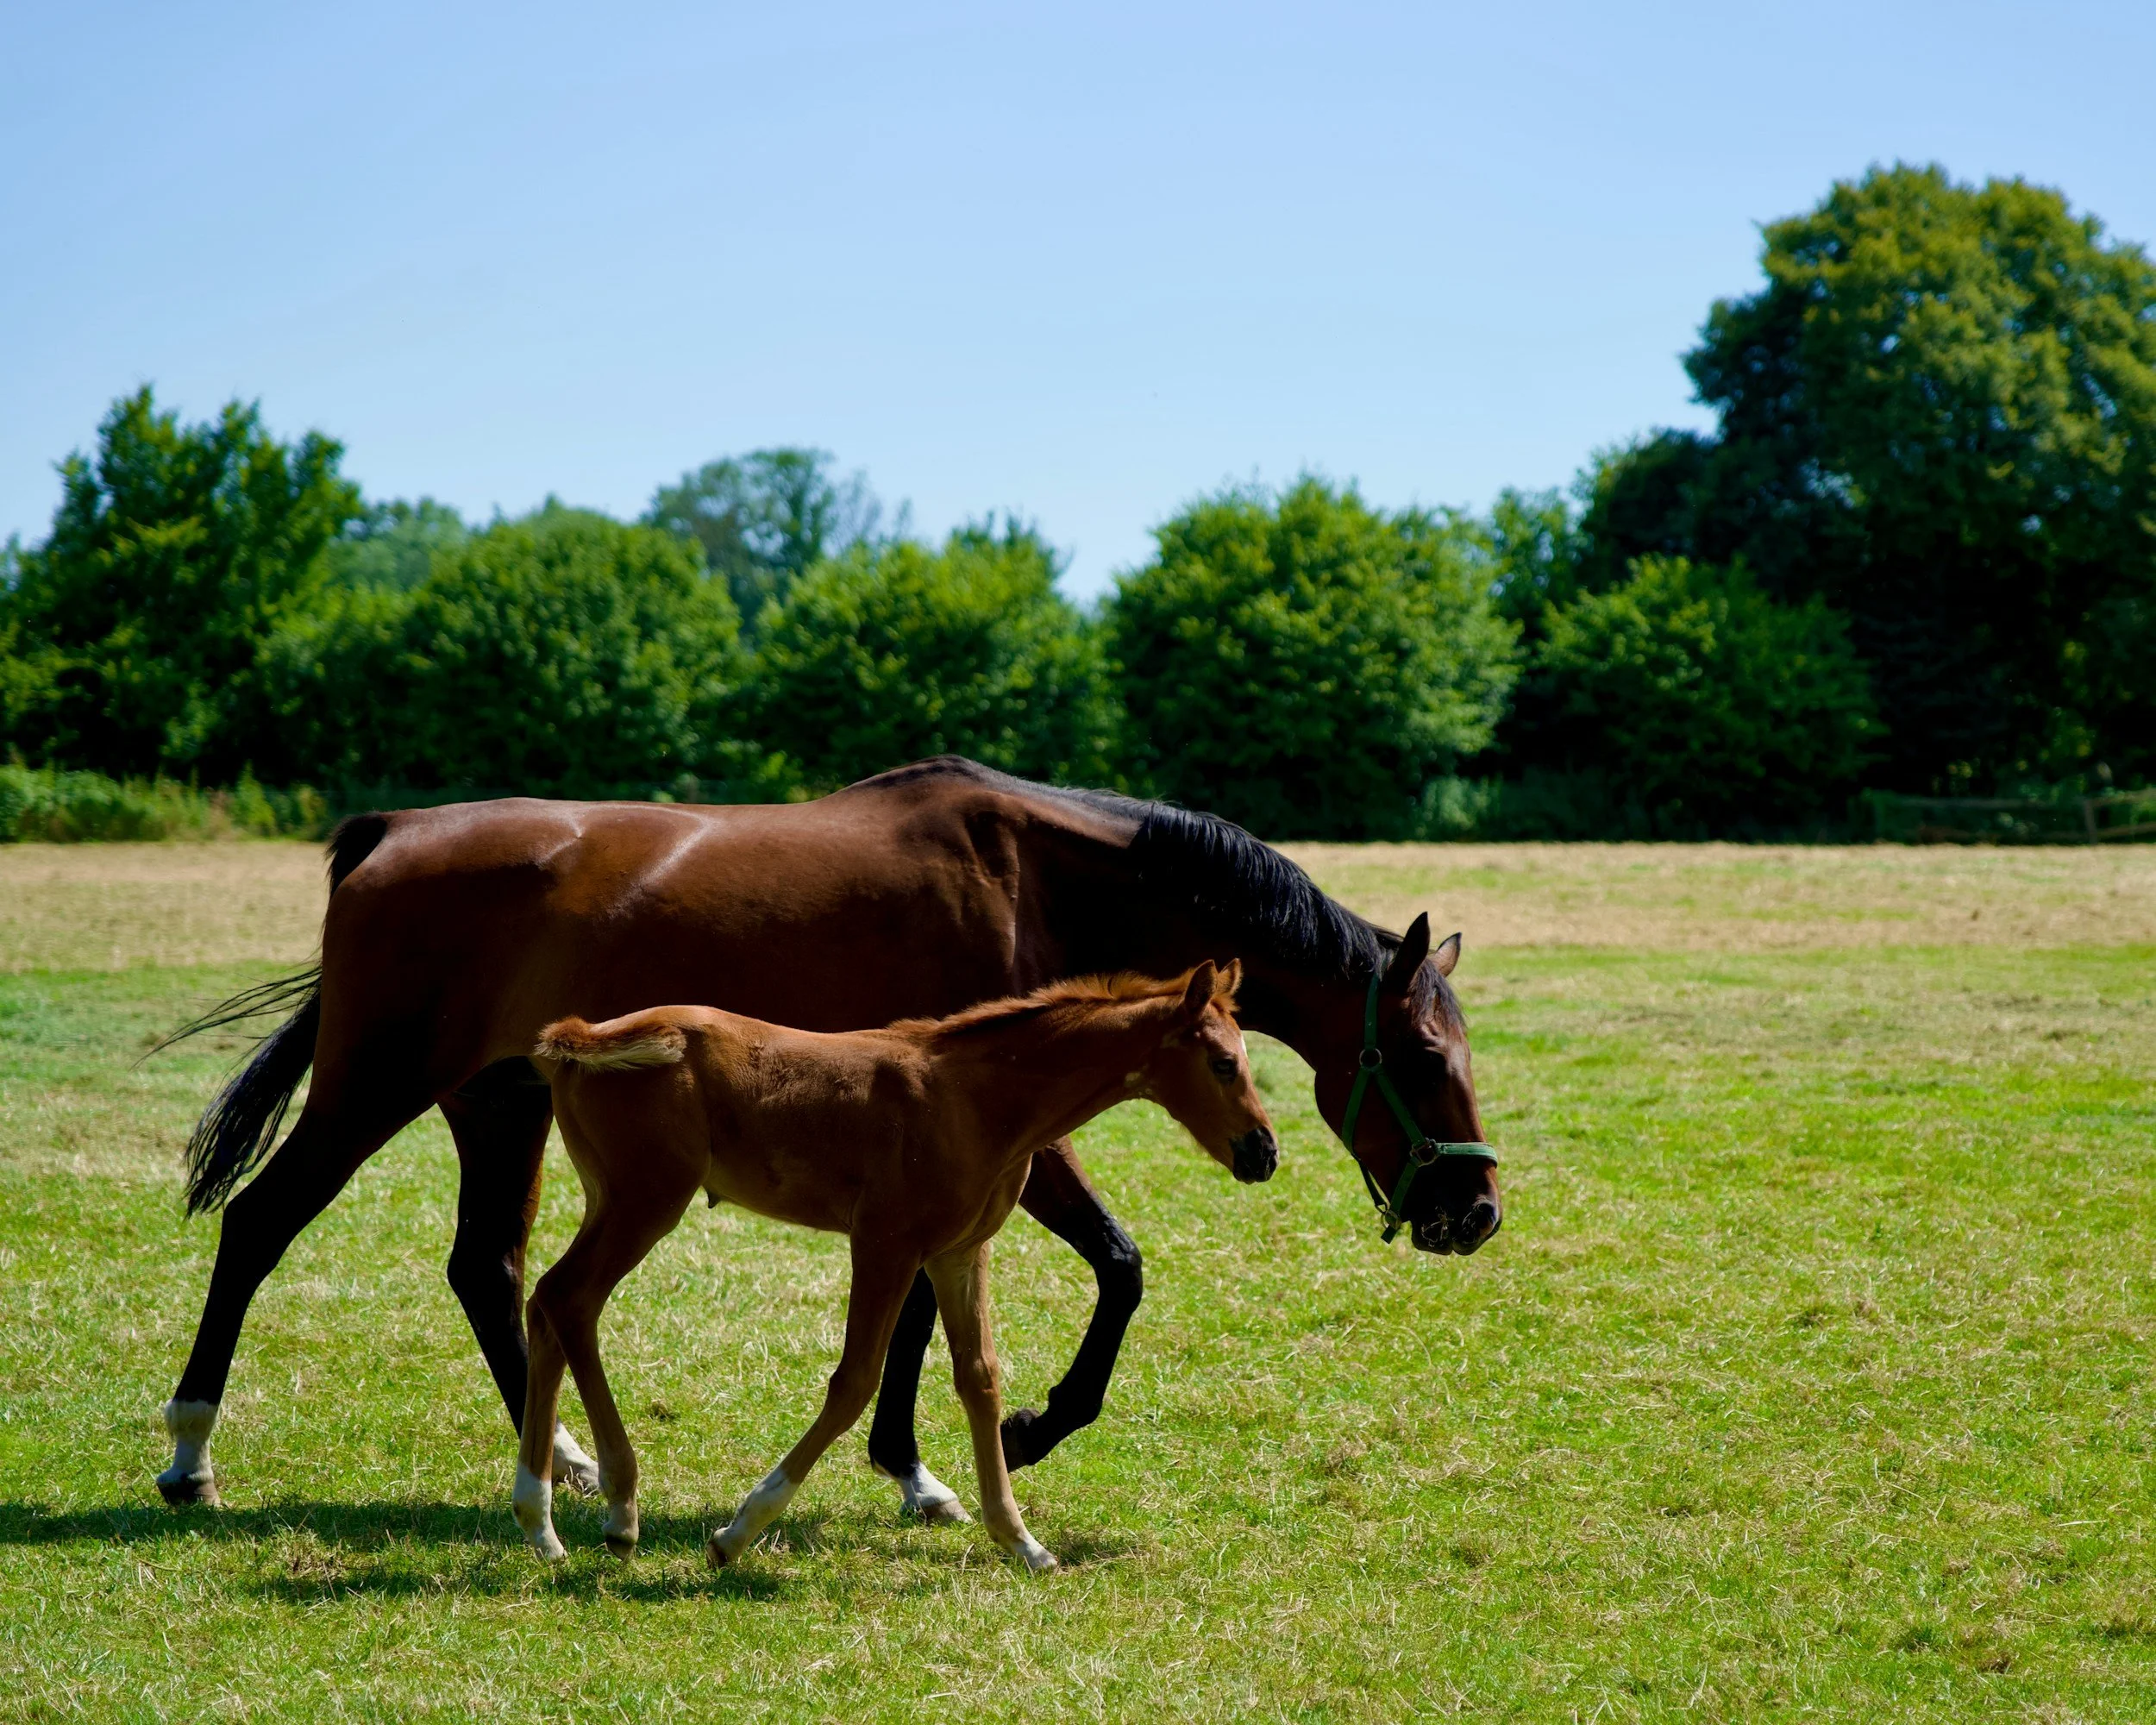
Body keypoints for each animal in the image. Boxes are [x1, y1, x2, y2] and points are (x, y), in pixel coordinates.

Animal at [513, 961, 1269, 1571]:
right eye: (1222, 1063)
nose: (1264, 1152)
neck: (975, 1095)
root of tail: (585, 1036)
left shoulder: (960, 1253)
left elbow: (979, 1379)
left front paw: (1020, 1540)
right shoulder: (885, 1244)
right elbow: (854, 1382)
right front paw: (740, 1530)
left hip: (610, 1201)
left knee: (546, 1303)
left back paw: (540, 1523)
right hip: (646, 1203)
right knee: (572, 1302)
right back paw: (617, 1508)